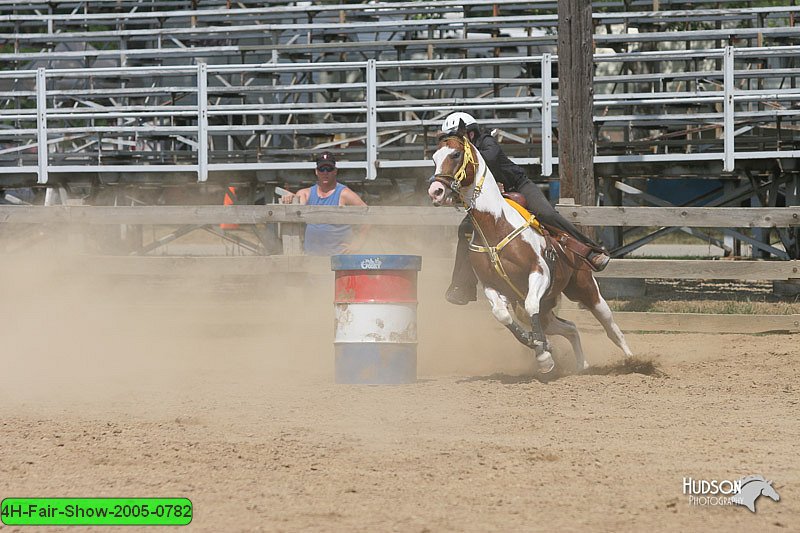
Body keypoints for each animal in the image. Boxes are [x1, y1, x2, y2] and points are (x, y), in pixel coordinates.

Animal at [428, 129, 628, 372]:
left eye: (456, 154)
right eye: (434, 158)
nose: (436, 191)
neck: (496, 225)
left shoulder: (539, 272)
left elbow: (531, 303)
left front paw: (543, 356)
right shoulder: (491, 286)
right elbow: (502, 315)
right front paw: (541, 349)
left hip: (586, 289)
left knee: (611, 328)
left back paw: (633, 360)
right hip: (544, 312)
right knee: (570, 328)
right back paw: (581, 365)